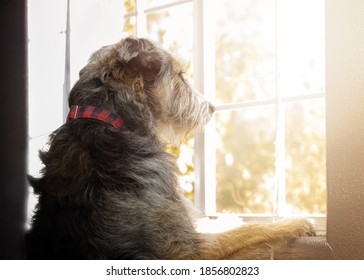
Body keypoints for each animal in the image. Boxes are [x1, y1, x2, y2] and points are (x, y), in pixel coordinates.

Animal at [26, 37, 316, 260]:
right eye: (180, 76)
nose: (211, 108)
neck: (112, 123)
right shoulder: (187, 251)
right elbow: (250, 230)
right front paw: (292, 222)